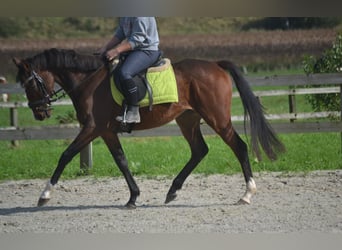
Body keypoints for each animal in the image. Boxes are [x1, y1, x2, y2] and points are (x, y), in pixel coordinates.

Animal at [13, 47, 284, 208]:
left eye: (30, 84)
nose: (39, 112)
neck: (88, 82)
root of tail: (215, 65)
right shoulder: (107, 131)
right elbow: (121, 161)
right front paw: (133, 197)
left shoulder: (93, 128)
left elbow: (66, 154)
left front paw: (44, 195)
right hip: (188, 119)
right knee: (199, 150)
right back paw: (172, 191)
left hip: (217, 118)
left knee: (239, 146)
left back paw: (247, 194)